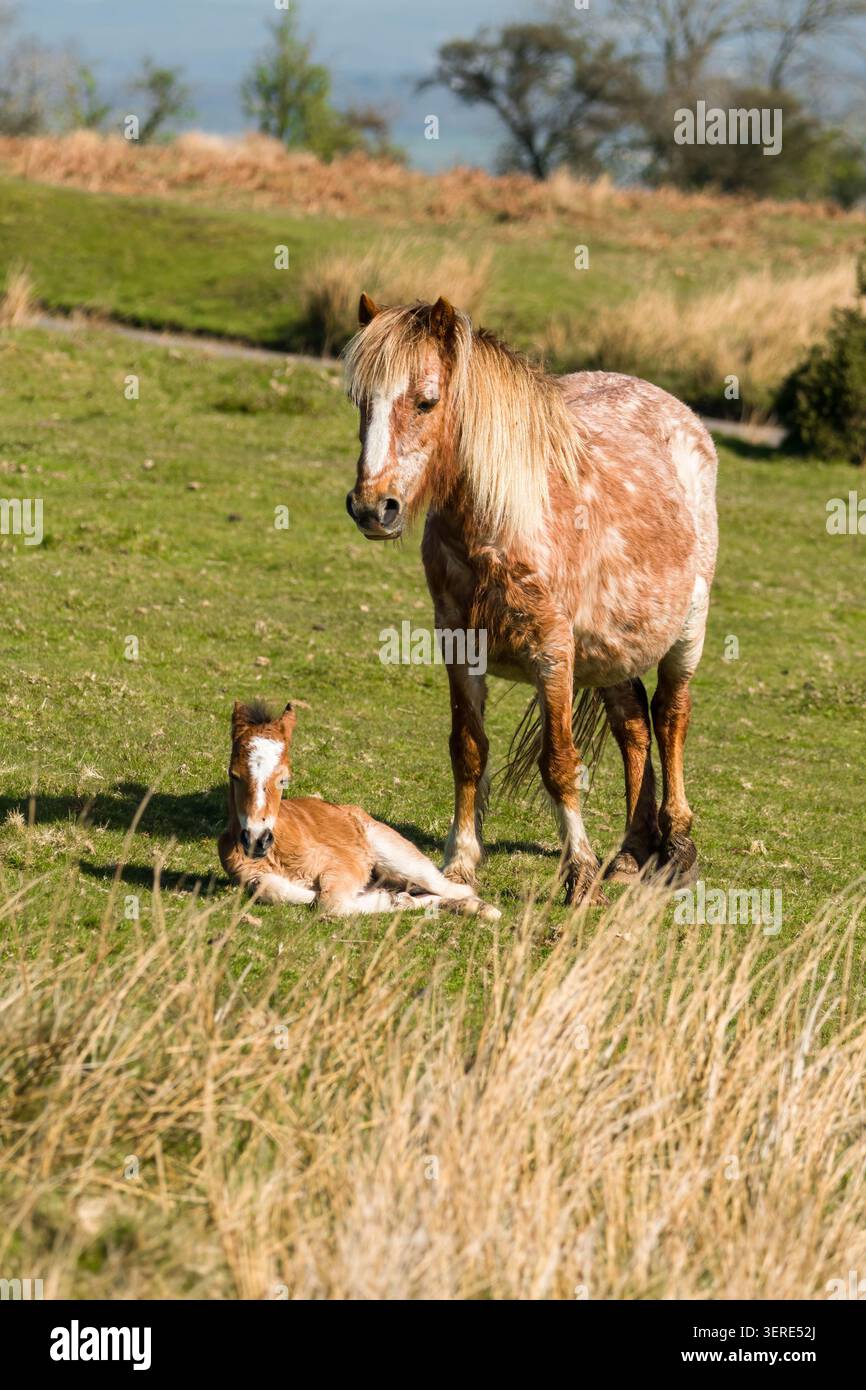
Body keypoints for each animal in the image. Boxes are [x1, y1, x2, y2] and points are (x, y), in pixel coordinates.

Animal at [218, 699, 501, 919]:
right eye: (234, 775)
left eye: (284, 779)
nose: (256, 838)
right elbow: (275, 888)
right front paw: (391, 897)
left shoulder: (344, 866)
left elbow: (330, 902)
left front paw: (387, 899)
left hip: (398, 856)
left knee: (454, 888)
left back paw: (482, 909)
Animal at [344, 294, 718, 905]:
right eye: (360, 403)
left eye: (426, 401)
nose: (374, 508)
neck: (498, 522)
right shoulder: (459, 645)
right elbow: (467, 750)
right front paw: (460, 866)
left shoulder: (552, 652)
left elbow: (560, 762)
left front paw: (580, 876)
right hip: (610, 648)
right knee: (633, 726)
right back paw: (631, 854)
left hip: (687, 627)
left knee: (670, 716)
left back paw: (678, 848)